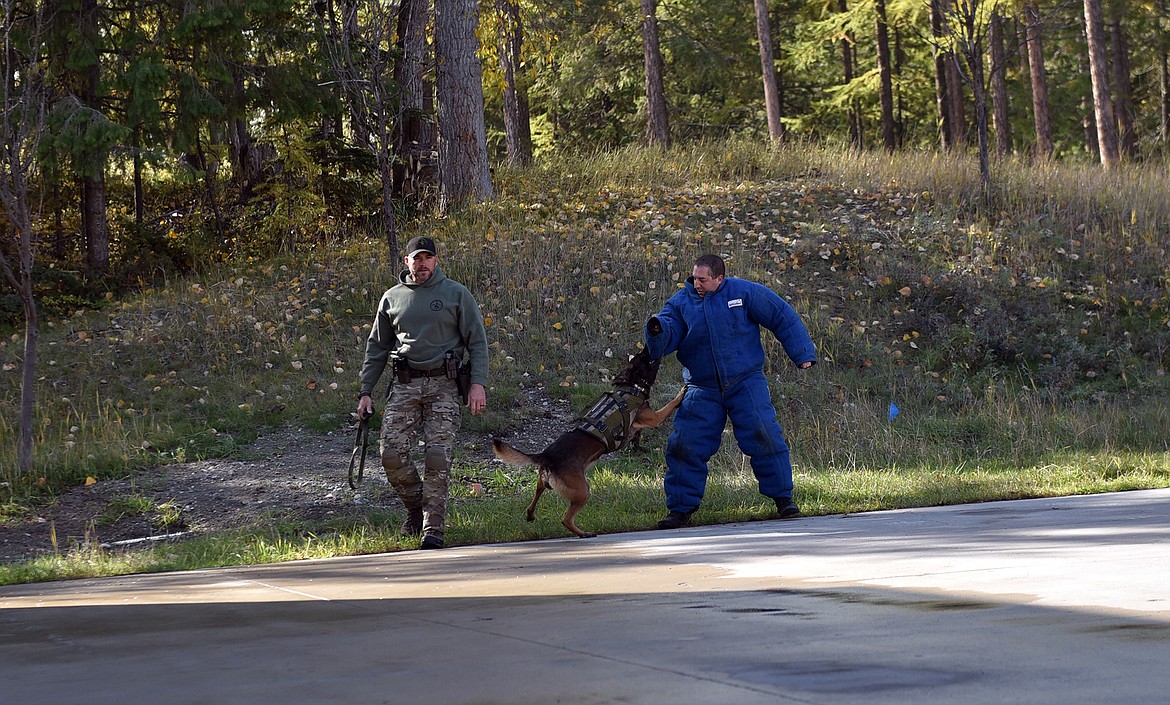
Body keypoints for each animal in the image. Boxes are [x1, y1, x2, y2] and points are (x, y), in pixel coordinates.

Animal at [486, 348, 683, 540]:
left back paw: (530, 515)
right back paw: (583, 533)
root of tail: (547, 456)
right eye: (645, 358)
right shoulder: (655, 417)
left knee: (534, 499)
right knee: (566, 519)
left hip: (543, 483)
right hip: (583, 491)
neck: (630, 386)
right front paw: (682, 392)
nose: (649, 347)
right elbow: (670, 404)